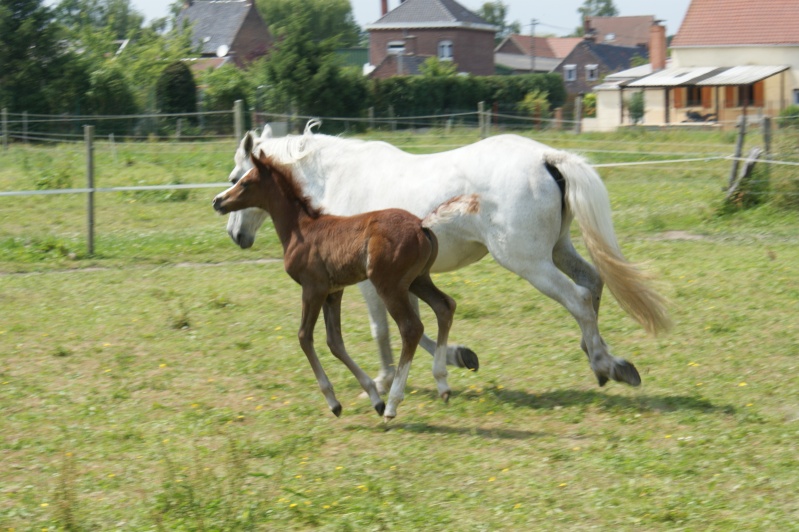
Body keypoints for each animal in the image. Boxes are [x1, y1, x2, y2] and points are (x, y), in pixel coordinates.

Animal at [212, 150, 478, 420]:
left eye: (244, 182)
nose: (218, 201)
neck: (302, 228)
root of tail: (421, 224)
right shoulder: (333, 292)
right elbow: (335, 342)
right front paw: (373, 397)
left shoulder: (313, 288)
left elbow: (304, 337)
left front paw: (335, 402)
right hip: (418, 279)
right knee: (444, 306)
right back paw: (442, 383)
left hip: (389, 285)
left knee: (411, 328)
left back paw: (393, 404)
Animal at [222, 122, 672, 392]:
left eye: (236, 179)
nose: (235, 234)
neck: (335, 181)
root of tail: (547, 158)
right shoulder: (401, 279)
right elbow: (416, 325)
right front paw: (458, 357)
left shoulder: (369, 282)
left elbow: (385, 330)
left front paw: (383, 382)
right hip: (559, 249)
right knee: (593, 284)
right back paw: (612, 362)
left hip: (528, 262)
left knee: (578, 298)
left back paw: (601, 364)